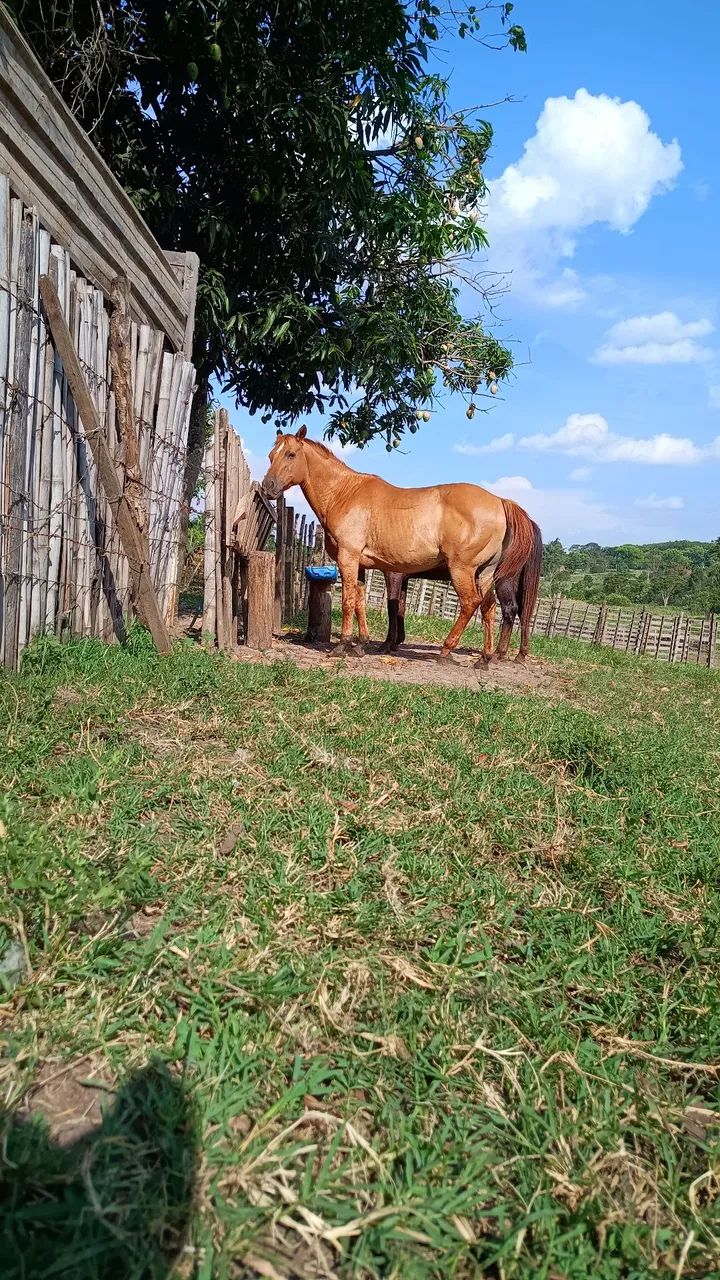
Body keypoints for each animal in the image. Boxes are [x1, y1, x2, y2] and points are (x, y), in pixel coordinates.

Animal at [262, 426, 542, 666]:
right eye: (271, 455)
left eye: (291, 454)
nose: (268, 487)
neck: (345, 493)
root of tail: (500, 501)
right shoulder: (361, 565)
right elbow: (361, 602)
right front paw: (360, 645)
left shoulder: (348, 558)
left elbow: (349, 601)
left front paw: (342, 645)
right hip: (484, 573)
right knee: (489, 607)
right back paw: (484, 657)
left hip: (463, 569)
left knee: (472, 603)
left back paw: (447, 650)